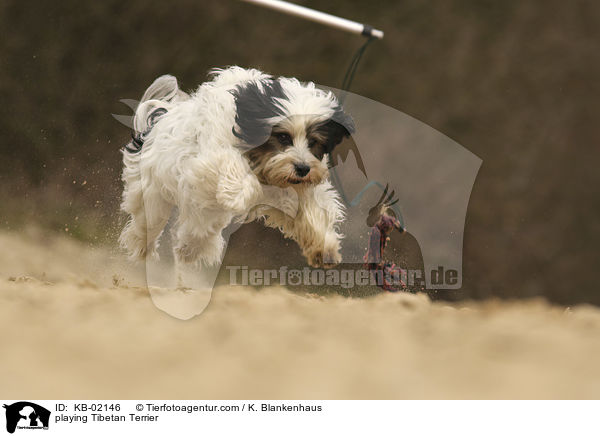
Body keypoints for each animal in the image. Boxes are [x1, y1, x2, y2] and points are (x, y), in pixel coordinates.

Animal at [121, 66, 354, 286]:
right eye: (282, 137)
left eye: (313, 141)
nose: (303, 168)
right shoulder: (211, 159)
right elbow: (237, 175)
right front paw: (239, 194)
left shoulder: (294, 188)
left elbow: (312, 210)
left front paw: (324, 247)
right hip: (153, 196)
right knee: (147, 227)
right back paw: (144, 257)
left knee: (199, 228)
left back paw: (189, 249)